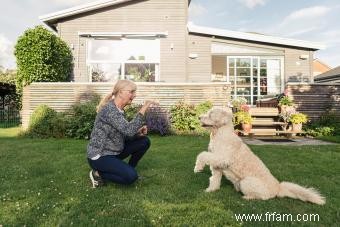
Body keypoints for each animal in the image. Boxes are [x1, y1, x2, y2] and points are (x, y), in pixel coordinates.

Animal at [194, 107, 324, 205]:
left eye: (211, 114)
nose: (199, 117)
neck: (219, 133)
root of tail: (278, 187)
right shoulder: (217, 164)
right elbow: (214, 179)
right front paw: (211, 190)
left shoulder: (222, 157)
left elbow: (202, 154)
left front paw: (198, 167)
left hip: (245, 182)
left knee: (263, 197)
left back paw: (248, 197)